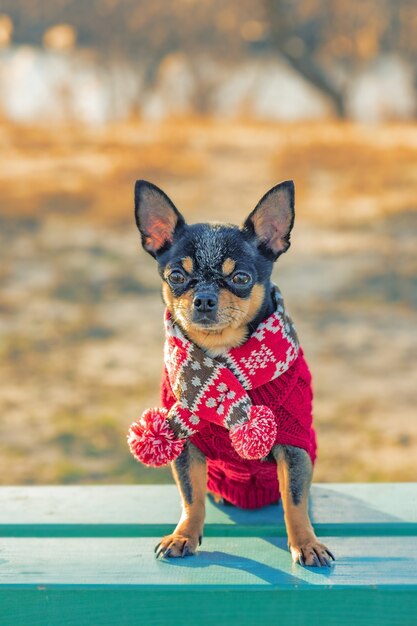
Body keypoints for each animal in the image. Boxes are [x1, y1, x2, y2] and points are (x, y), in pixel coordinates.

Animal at [135, 179, 334, 564]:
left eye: (240, 278)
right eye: (177, 276)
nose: (204, 298)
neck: (221, 353)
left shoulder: (293, 445)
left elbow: (295, 502)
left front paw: (305, 542)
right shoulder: (183, 444)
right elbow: (191, 497)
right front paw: (184, 535)